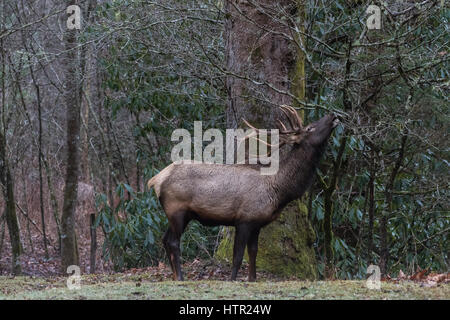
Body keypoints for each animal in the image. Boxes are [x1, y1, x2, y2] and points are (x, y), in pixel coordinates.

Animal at [146, 105, 340, 280]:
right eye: (310, 127)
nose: (332, 114)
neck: (278, 190)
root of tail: (155, 180)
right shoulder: (244, 219)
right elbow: (238, 256)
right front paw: (233, 279)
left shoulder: (257, 223)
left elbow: (253, 252)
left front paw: (252, 279)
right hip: (176, 210)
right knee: (173, 241)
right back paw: (180, 277)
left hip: (182, 215)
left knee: (165, 239)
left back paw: (174, 275)